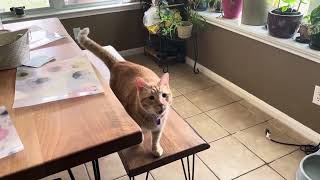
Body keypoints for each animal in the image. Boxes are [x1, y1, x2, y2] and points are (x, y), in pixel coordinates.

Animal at [77, 28, 172, 158]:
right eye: (151, 98)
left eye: (164, 95)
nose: (162, 105)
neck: (154, 118)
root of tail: (119, 63)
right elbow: (141, 135)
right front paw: (141, 140)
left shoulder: (159, 128)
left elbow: (156, 139)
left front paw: (155, 149)